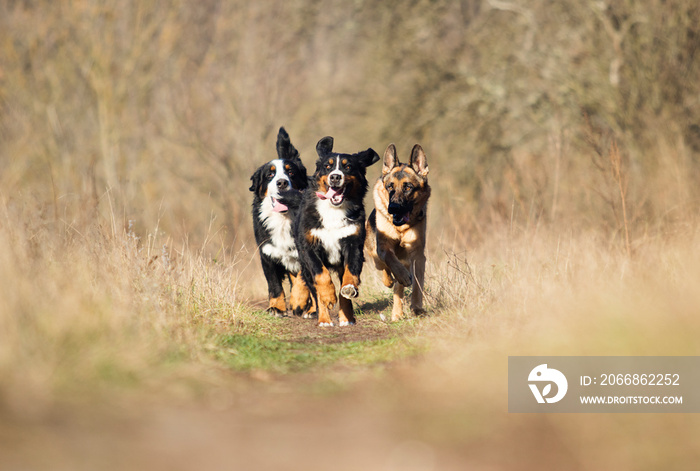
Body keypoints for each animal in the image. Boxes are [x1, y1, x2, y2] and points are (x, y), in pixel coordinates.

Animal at [247, 127, 310, 318]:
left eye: (291, 172)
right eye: (270, 174)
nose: (281, 182)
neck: (284, 219)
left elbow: (301, 281)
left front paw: (298, 302)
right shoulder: (267, 254)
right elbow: (274, 285)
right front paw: (276, 308)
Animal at [288, 136, 380, 328]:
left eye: (348, 167)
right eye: (328, 166)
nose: (336, 176)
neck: (333, 210)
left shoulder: (352, 243)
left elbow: (350, 273)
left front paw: (349, 290)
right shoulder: (309, 246)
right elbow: (321, 276)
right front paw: (328, 296)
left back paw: (346, 318)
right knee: (315, 291)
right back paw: (324, 319)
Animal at [364, 144, 430, 320]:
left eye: (408, 187)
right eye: (390, 187)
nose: (393, 208)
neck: (401, 228)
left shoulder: (417, 255)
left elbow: (417, 285)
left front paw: (417, 308)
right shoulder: (383, 247)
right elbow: (390, 259)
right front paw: (400, 276)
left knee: (398, 287)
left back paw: (397, 312)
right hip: (375, 256)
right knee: (385, 267)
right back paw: (391, 281)